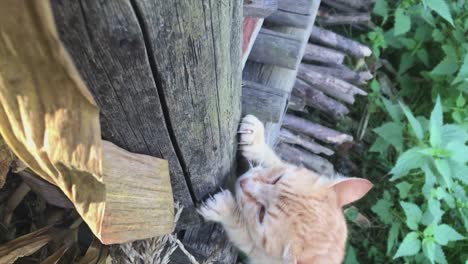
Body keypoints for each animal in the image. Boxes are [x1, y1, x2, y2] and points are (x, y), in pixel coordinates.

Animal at [197, 115, 372, 264]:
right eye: (277, 179)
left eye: (261, 214)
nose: (243, 181)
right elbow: (278, 161)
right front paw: (256, 140)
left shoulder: (260, 255)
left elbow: (242, 232)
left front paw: (224, 208)